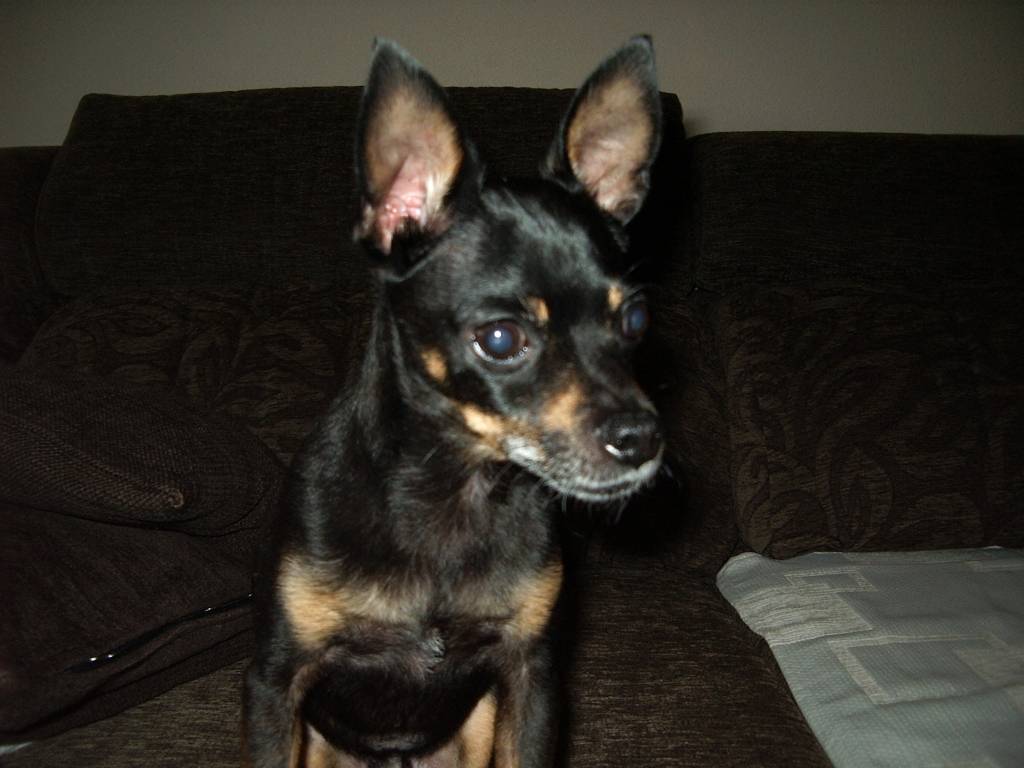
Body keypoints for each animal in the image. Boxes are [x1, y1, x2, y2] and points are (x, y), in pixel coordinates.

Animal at [244, 35, 663, 768]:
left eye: (635, 320)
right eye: (500, 339)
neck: (451, 495)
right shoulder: (274, 683)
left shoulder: (530, 678)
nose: (642, 439)